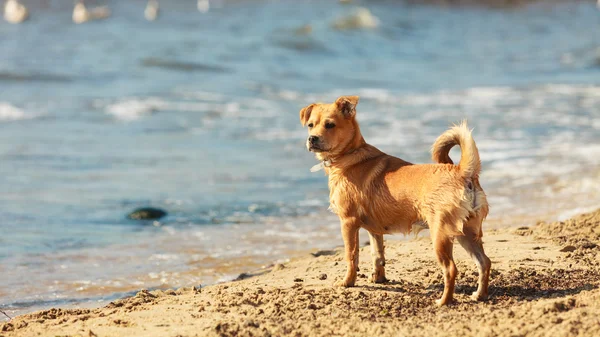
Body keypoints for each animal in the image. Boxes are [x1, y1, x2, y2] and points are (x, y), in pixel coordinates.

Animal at [302, 94, 490, 304]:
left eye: (330, 125)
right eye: (310, 125)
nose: (312, 138)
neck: (350, 155)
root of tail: (462, 172)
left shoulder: (348, 222)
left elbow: (351, 256)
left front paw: (347, 282)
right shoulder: (374, 230)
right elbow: (378, 255)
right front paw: (379, 279)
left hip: (441, 234)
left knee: (451, 269)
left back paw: (443, 301)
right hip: (467, 232)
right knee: (484, 262)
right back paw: (479, 294)